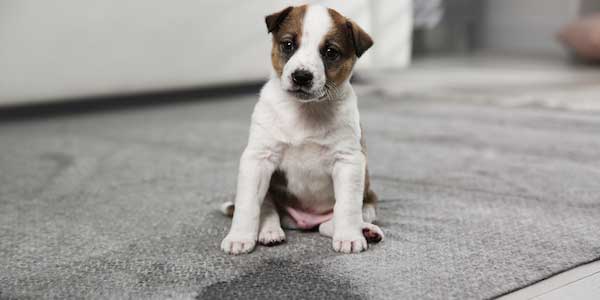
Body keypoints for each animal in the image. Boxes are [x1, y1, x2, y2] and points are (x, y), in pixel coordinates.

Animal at [221, 3, 384, 254]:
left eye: (330, 52)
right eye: (288, 45)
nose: (301, 76)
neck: (305, 110)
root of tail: (304, 221)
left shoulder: (348, 161)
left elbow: (346, 207)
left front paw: (349, 236)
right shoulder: (258, 159)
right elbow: (248, 206)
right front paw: (239, 237)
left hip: (367, 200)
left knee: (334, 221)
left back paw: (365, 230)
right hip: (269, 190)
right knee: (268, 210)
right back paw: (270, 232)